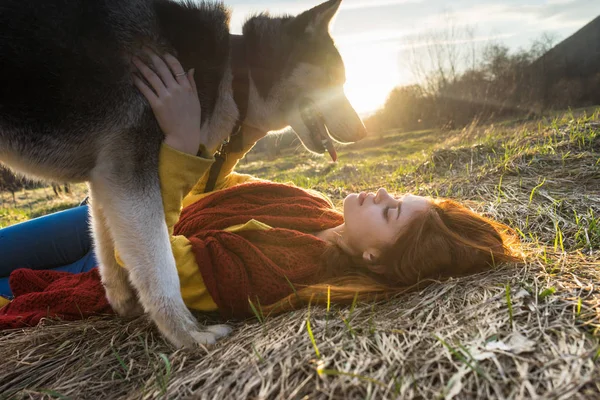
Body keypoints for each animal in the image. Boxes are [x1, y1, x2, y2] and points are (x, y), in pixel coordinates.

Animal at [0, 0, 366, 346]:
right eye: (334, 80)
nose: (363, 131)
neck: (233, 76)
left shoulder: (108, 178)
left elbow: (109, 250)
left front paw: (123, 300)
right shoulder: (130, 172)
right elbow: (162, 269)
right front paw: (188, 334)